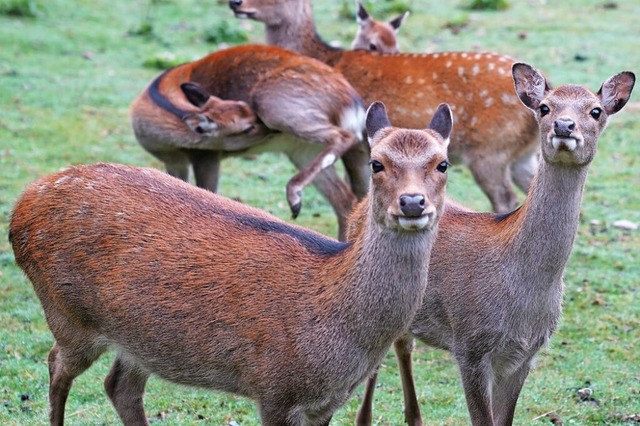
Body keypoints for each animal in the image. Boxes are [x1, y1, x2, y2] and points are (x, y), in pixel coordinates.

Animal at [7, 100, 452, 426]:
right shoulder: (275, 389)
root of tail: (21, 206)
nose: (412, 202)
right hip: (68, 315)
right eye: (377, 163)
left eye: (442, 163)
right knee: (56, 365)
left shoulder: (324, 403)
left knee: (119, 386)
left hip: (137, 340)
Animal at [131, 45, 370, 243]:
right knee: (346, 199)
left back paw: (294, 198)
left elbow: (207, 190)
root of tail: (353, 105)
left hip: (273, 104)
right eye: (246, 128)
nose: (271, 130)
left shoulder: (207, 155)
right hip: (304, 150)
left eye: (245, 107)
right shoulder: (175, 161)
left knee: (342, 139)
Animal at [229, 0, 540, 213]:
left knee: (505, 200)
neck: (326, 57)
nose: (236, 2)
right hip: (522, 155)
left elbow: (357, 193)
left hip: (489, 152)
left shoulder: (356, 147)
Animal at [356, 64, 636, 426]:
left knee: (404, 345)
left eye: (596, 111)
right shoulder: (470, 346)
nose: (564, 126)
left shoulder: (524, 355)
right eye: (544, 107)